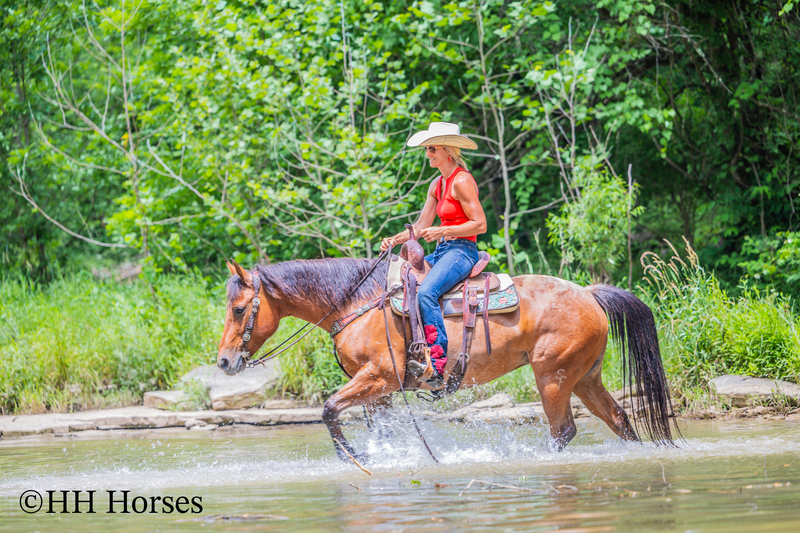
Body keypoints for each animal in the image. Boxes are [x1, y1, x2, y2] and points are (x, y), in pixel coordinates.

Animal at [217, 257, 678, 462]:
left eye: (239, 309)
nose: (223, 362)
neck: (357, 303)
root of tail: (590, 294)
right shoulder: (379, 393)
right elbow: (377, 428)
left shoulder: (378, 378)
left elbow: (329, 409)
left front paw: (356, 458)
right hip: (585, 378)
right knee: (618, 419)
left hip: (553, 378)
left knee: (563, 430)